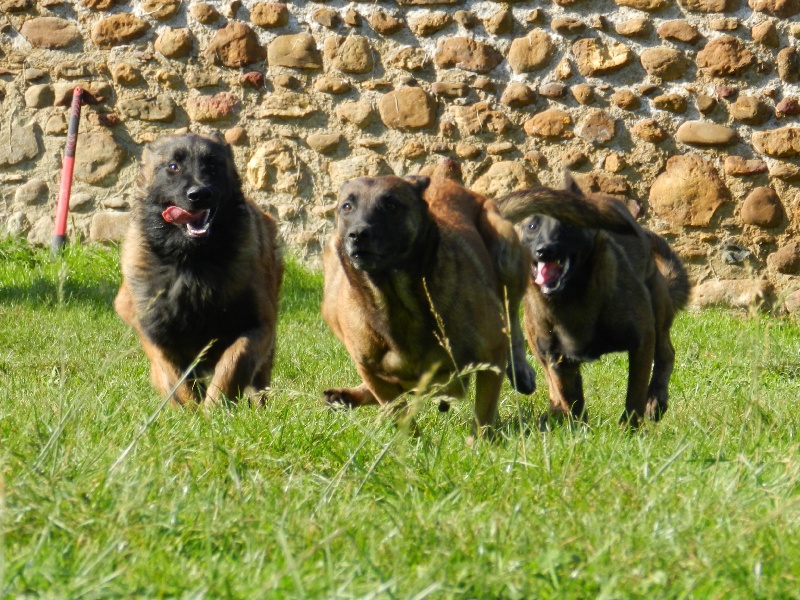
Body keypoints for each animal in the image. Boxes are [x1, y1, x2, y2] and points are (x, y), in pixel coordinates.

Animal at [114, 134, 282, 408]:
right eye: (173, 167)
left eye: (212, 166)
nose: (199, 194)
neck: (192, 263)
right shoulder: (158, 338)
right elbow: (179, 383)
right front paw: (193, 411)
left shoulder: (258, 327)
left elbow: (233, 363)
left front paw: (214, 406)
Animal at [496, 173, 692, 426]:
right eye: (532, 226)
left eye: (569, 223)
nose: (544, 250)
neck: (572, 297)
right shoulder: (557, 360)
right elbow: (571, 401)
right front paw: (577, 428)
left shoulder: (642, 341)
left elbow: (634, 398)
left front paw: (629, 430)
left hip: (658, 311)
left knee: (666, 353)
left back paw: (656, 399)